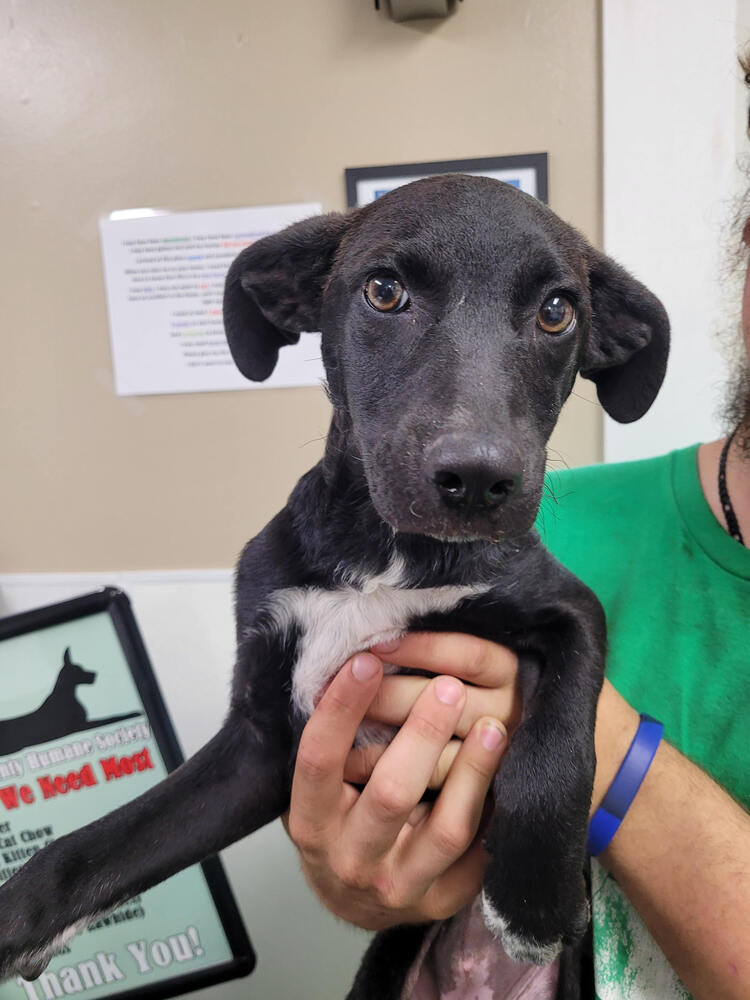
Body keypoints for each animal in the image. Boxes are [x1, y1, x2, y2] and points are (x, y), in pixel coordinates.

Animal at [0, 176, 668, 996]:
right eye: (383, 291)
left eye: (556, 310)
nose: (478, 479)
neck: (385, 554)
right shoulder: (262, 743)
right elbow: (94, 850)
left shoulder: (566, 606)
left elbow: (561, 740)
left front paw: (534, 899)